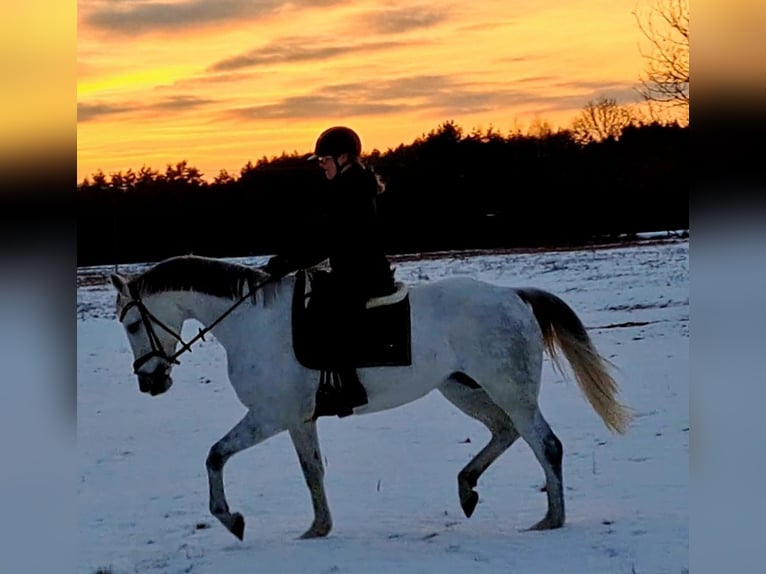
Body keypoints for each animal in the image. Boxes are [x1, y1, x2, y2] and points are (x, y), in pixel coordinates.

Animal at [109, 254, 632, 541]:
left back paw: (551, 520)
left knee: (545, 444)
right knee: (504, 432)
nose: (150, 382)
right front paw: (318, 529)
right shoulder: (299, 419)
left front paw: (230, 518)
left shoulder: (270, 415)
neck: (250, 323)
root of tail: (514, 296)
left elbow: (215, 456)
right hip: (461, 387)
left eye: (132, 324)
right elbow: (312, 472)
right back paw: (467, 488)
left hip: (510, 390)